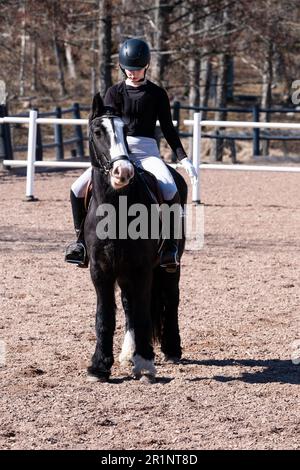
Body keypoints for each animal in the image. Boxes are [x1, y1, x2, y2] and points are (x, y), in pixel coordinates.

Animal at [84, 95, 186, 382]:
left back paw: (171, 349)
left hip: (169, 266)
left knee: (170, 297)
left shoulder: (141, 268)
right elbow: (105, 316)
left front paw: (145, 363)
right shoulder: (101, 270)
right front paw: (99, 366)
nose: (123, 172)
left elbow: (142, 313)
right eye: (98, 132)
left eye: (124, 130)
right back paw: (128, 352)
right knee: (128, 304)